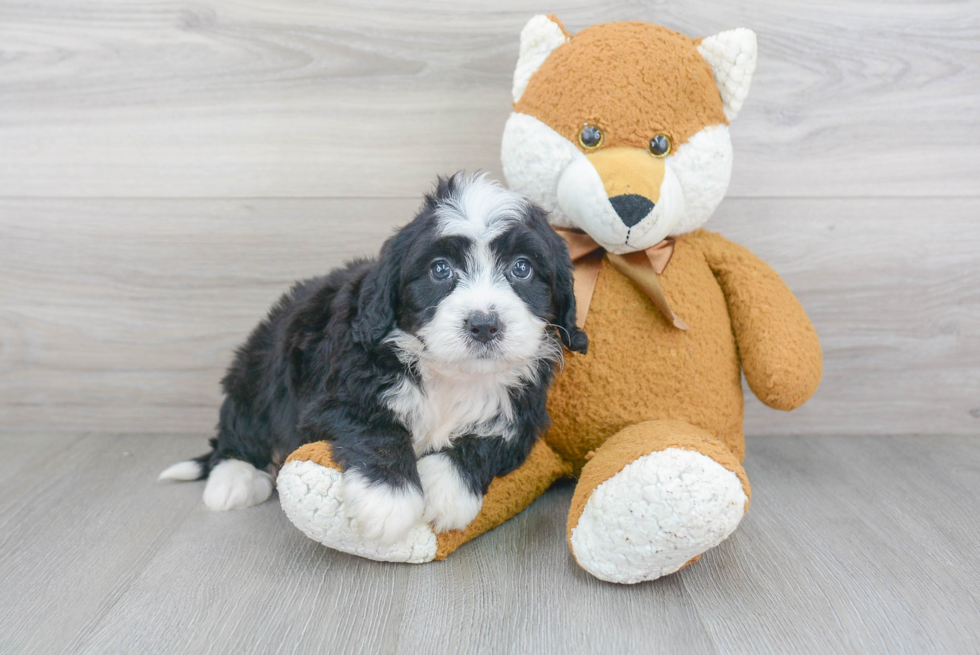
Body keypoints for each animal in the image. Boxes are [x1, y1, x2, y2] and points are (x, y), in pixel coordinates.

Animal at [161, 173, 584, 544]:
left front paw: (444, 489)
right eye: (440, 269)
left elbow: (486, 441)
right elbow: (376, 428)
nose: (483, 325)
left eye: (522, 268)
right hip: (260, 367)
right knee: (240, 425)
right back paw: (234, 478)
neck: (449, 374)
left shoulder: (522, 417)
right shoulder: (335, 396)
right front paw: (389, 499)